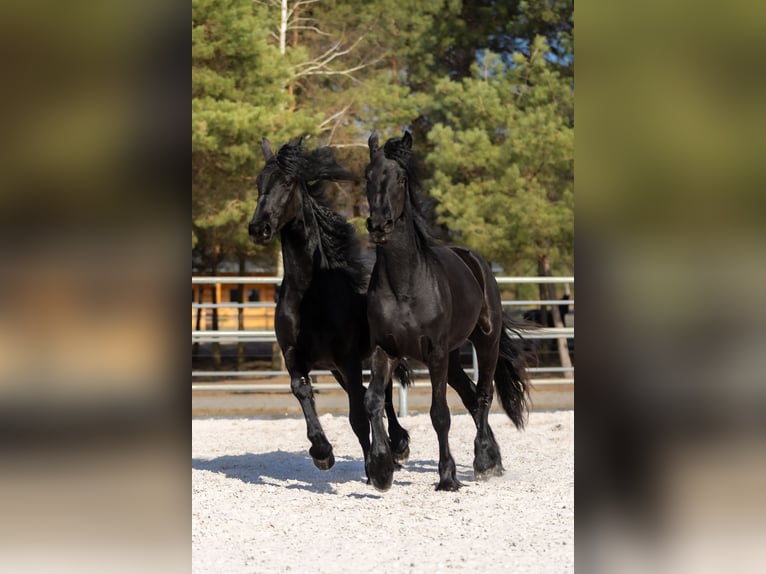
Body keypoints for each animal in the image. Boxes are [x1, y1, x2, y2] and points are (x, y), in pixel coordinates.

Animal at [247, 137, 411, 479]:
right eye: (258, 182)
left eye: (287, 182)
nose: (258, 228)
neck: (311, 297)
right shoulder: (294, 355)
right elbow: (301, 390)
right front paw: (322, 452)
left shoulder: (347, 360)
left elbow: (358, 415)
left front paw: (376, 466)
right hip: (338, 369)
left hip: (365, 358)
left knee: (384, 395)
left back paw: (399, 445)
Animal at [363, 130, 533, 491]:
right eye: (368, 176)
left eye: (401, 178)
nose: (380, 225)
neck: (405, 285)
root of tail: (476, 261)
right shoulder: (385, 349)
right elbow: (373, 401)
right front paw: (381, 469)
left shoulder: (436, 353)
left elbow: (439, 414)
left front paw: (447, 477)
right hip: (454, 357)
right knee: (469, 396)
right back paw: (493, 459)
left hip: (484, 343)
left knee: (483, 395)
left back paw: (483, 462)